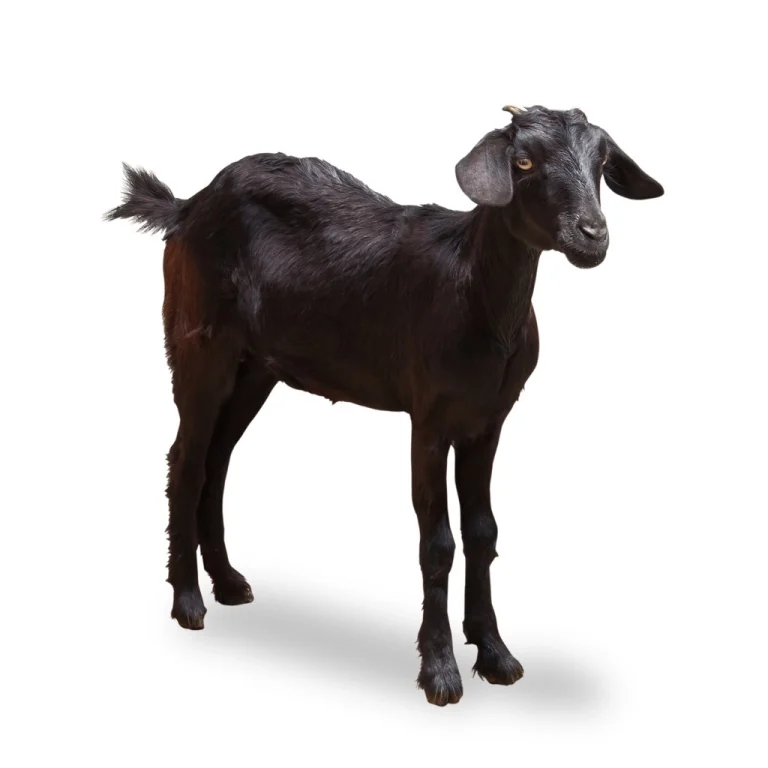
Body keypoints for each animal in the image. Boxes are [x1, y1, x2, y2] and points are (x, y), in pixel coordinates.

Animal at [106, 104, 663, 706]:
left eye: (602, 163)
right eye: (523, 161)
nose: (592, 235)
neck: (476, 296)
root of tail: (188, 206)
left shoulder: (488, 420)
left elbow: (483, 532)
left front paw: (495, 654)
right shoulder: (430, 417)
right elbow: (437, 541)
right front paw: (440, 671)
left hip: (256, 366)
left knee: (219, 459)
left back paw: (229, 583)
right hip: (199, 342)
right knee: (186, 459)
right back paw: (188, 601)